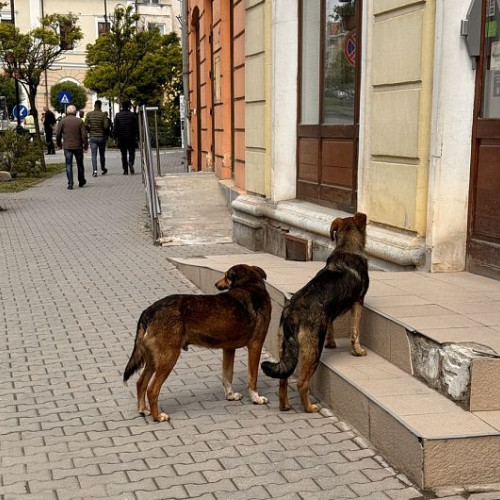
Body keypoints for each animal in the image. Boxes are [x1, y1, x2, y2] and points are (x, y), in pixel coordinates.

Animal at [125, 266, 274, 422]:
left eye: (226, 276)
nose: (216, 284)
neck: (250, 285)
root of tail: (149, 310)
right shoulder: (256, 345)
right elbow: (253, 378)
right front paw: (256, 398)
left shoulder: (228, 349)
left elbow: (227, 376)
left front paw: (230, 395)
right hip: (168, 357)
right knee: (152, 389)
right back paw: (158, 416)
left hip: (154, 359)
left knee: (140, 382)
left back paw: (143, 409)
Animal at [260, 213, 370, 412]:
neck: (347, 247)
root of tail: (292, 313)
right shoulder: (358, 302)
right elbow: (355, 332)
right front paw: (357, 350)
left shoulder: (330, 313)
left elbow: (332, 326)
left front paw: (332, 343)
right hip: (312, 349)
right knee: (302, 383)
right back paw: (310, 408)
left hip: (284, 346)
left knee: (283, 379)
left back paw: (285, 406)